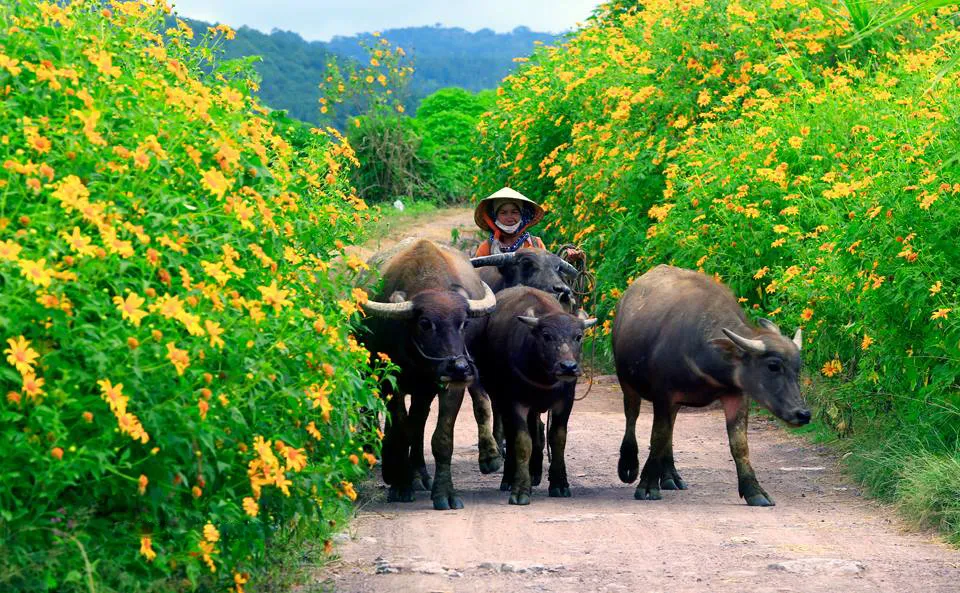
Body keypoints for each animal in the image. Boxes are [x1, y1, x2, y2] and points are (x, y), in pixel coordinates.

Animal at [358, 237, 496, 508]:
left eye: (464, 323)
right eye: (425, 323)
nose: (460, 367)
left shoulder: (450, 387)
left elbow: (441, 439)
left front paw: (444, 493)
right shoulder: (391, 384)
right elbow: (400, 430)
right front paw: (400, 486)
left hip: (425, 390)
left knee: (419, 422)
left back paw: (418, 473)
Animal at [476, 286, 596, 504]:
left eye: (578, 336)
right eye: (547, 335)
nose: (568, 367)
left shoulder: (565, 402)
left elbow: (558, 438)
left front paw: (559, 483)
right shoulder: (515, 402)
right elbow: (523, 442)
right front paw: (520, 489)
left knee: (538, 430)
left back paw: (535, 472)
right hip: (500, 398)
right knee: (512, 435)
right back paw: (509, 478)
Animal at [612, 266, 808, 506]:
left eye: (797, 368)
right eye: (773, 366)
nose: (803, 414)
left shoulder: (736, 395)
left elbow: (739, 445)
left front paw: (755, 491)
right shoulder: (663, 396)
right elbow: (657, 437)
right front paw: (647, 486)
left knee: (670, 429)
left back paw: (670, 476)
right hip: (626, 382)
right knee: (632, 417)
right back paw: (629, 465)